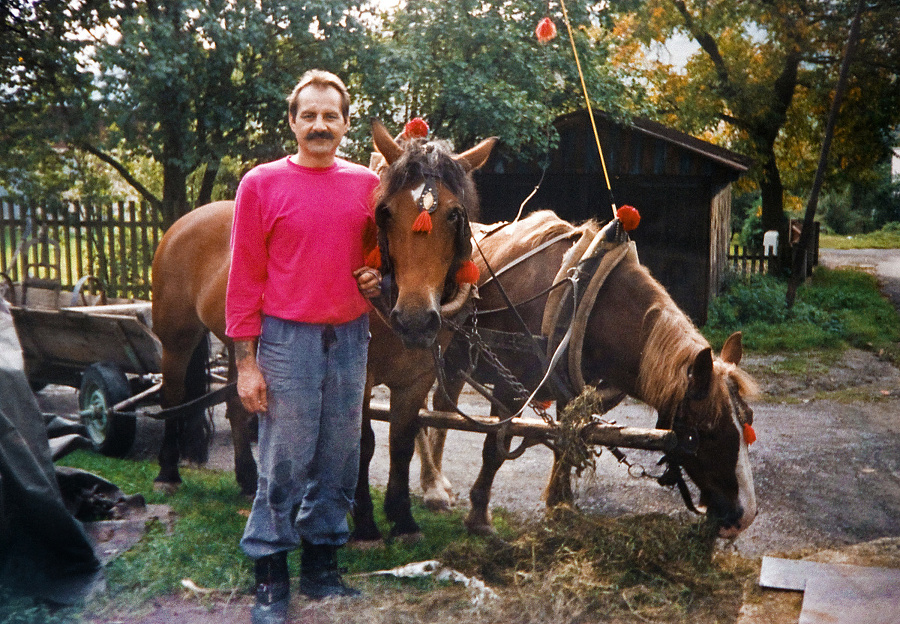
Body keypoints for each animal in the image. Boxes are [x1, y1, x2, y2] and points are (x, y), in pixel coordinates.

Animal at [150, 124, 496, 500]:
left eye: (454, 214)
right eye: (386, 212)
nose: (415, 320)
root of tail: (183, 222)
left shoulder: (418, 379)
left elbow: (401, 445)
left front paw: (402, 511)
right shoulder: (361, 376)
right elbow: (363, 444)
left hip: (237, 342)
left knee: (238, 403)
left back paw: (247, 478)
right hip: (176, 339)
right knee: (172, 395)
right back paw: (167, 472)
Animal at [402, 210, 760, 536]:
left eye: (748, 420)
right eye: (703, 433)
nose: (744, 516)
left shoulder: (567, 392)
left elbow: (565, 442)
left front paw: (560, 505)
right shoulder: (508, 387)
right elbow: (493, 450)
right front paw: (479, 516)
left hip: (455, 364)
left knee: (439, 410)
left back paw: (438, 484)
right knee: (417, 412)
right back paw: (433, 489)